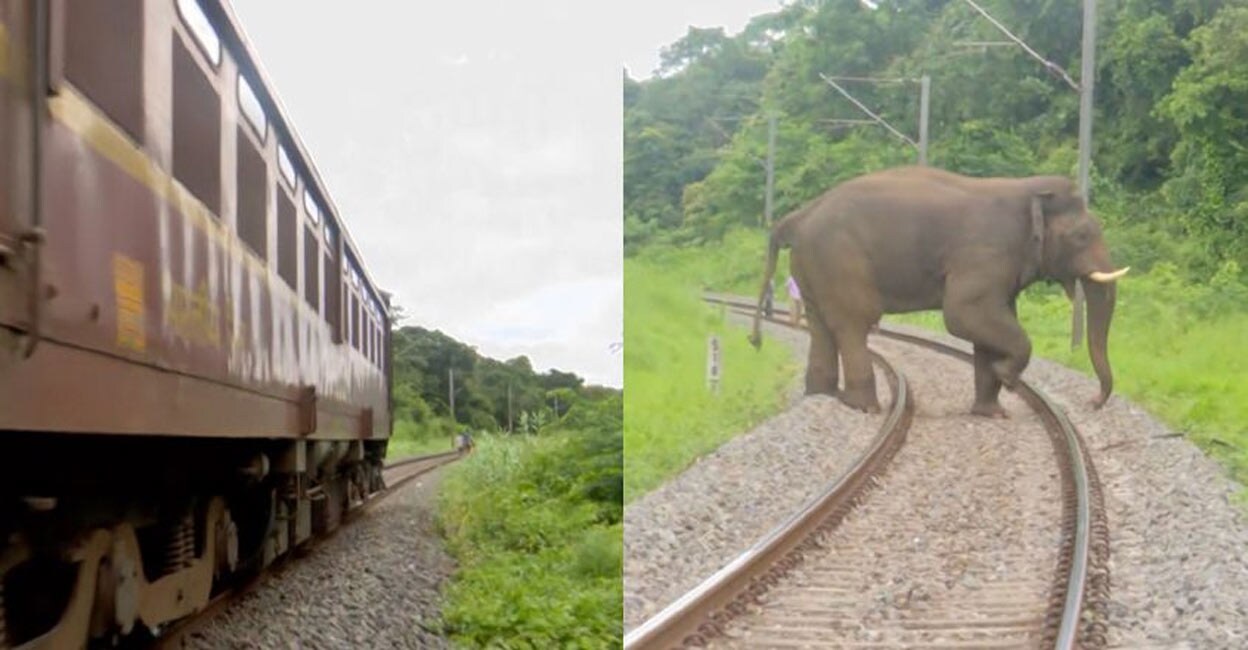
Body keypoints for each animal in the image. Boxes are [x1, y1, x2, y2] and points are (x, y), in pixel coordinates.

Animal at [748, 164, 1133, 414]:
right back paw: (865, 408)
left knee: (821, 325)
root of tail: (798, 216)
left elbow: (988, 324)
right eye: (1082, 236)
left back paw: (824, 396)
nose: (1092, 403)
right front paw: (1006, 377)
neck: (1026, 189)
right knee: (853, 322)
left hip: (811, 266)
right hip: (839, 259)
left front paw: (991, 411)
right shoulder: (985, 253)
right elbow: (963, 314)